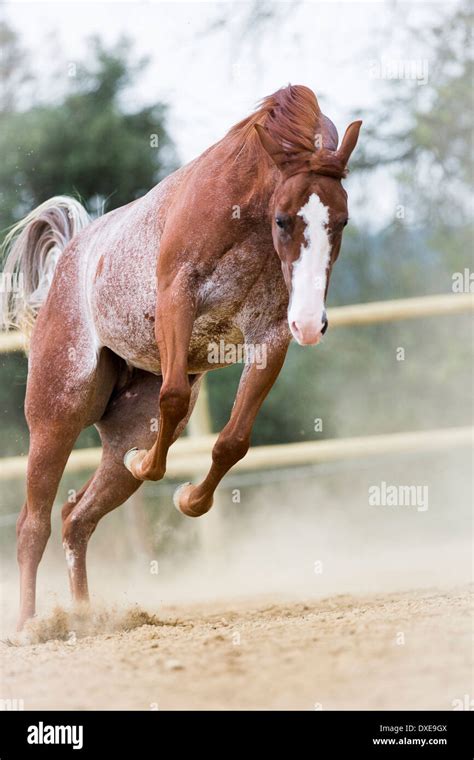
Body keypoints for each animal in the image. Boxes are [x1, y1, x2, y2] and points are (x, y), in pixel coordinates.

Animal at [1, 84, 362, 628]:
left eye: (340, 221)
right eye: (283, 219)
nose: (309, 323)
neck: (246, 215)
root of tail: (68, 261)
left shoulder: (270, 338)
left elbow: (232, 442)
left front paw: (189, 497)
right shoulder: (176, 299)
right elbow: (172, 398)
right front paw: (150, 467)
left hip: (119, 432)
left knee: (76, 518)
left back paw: (85, 616)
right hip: (56, 417)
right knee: (33, 524)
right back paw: (30, 627)